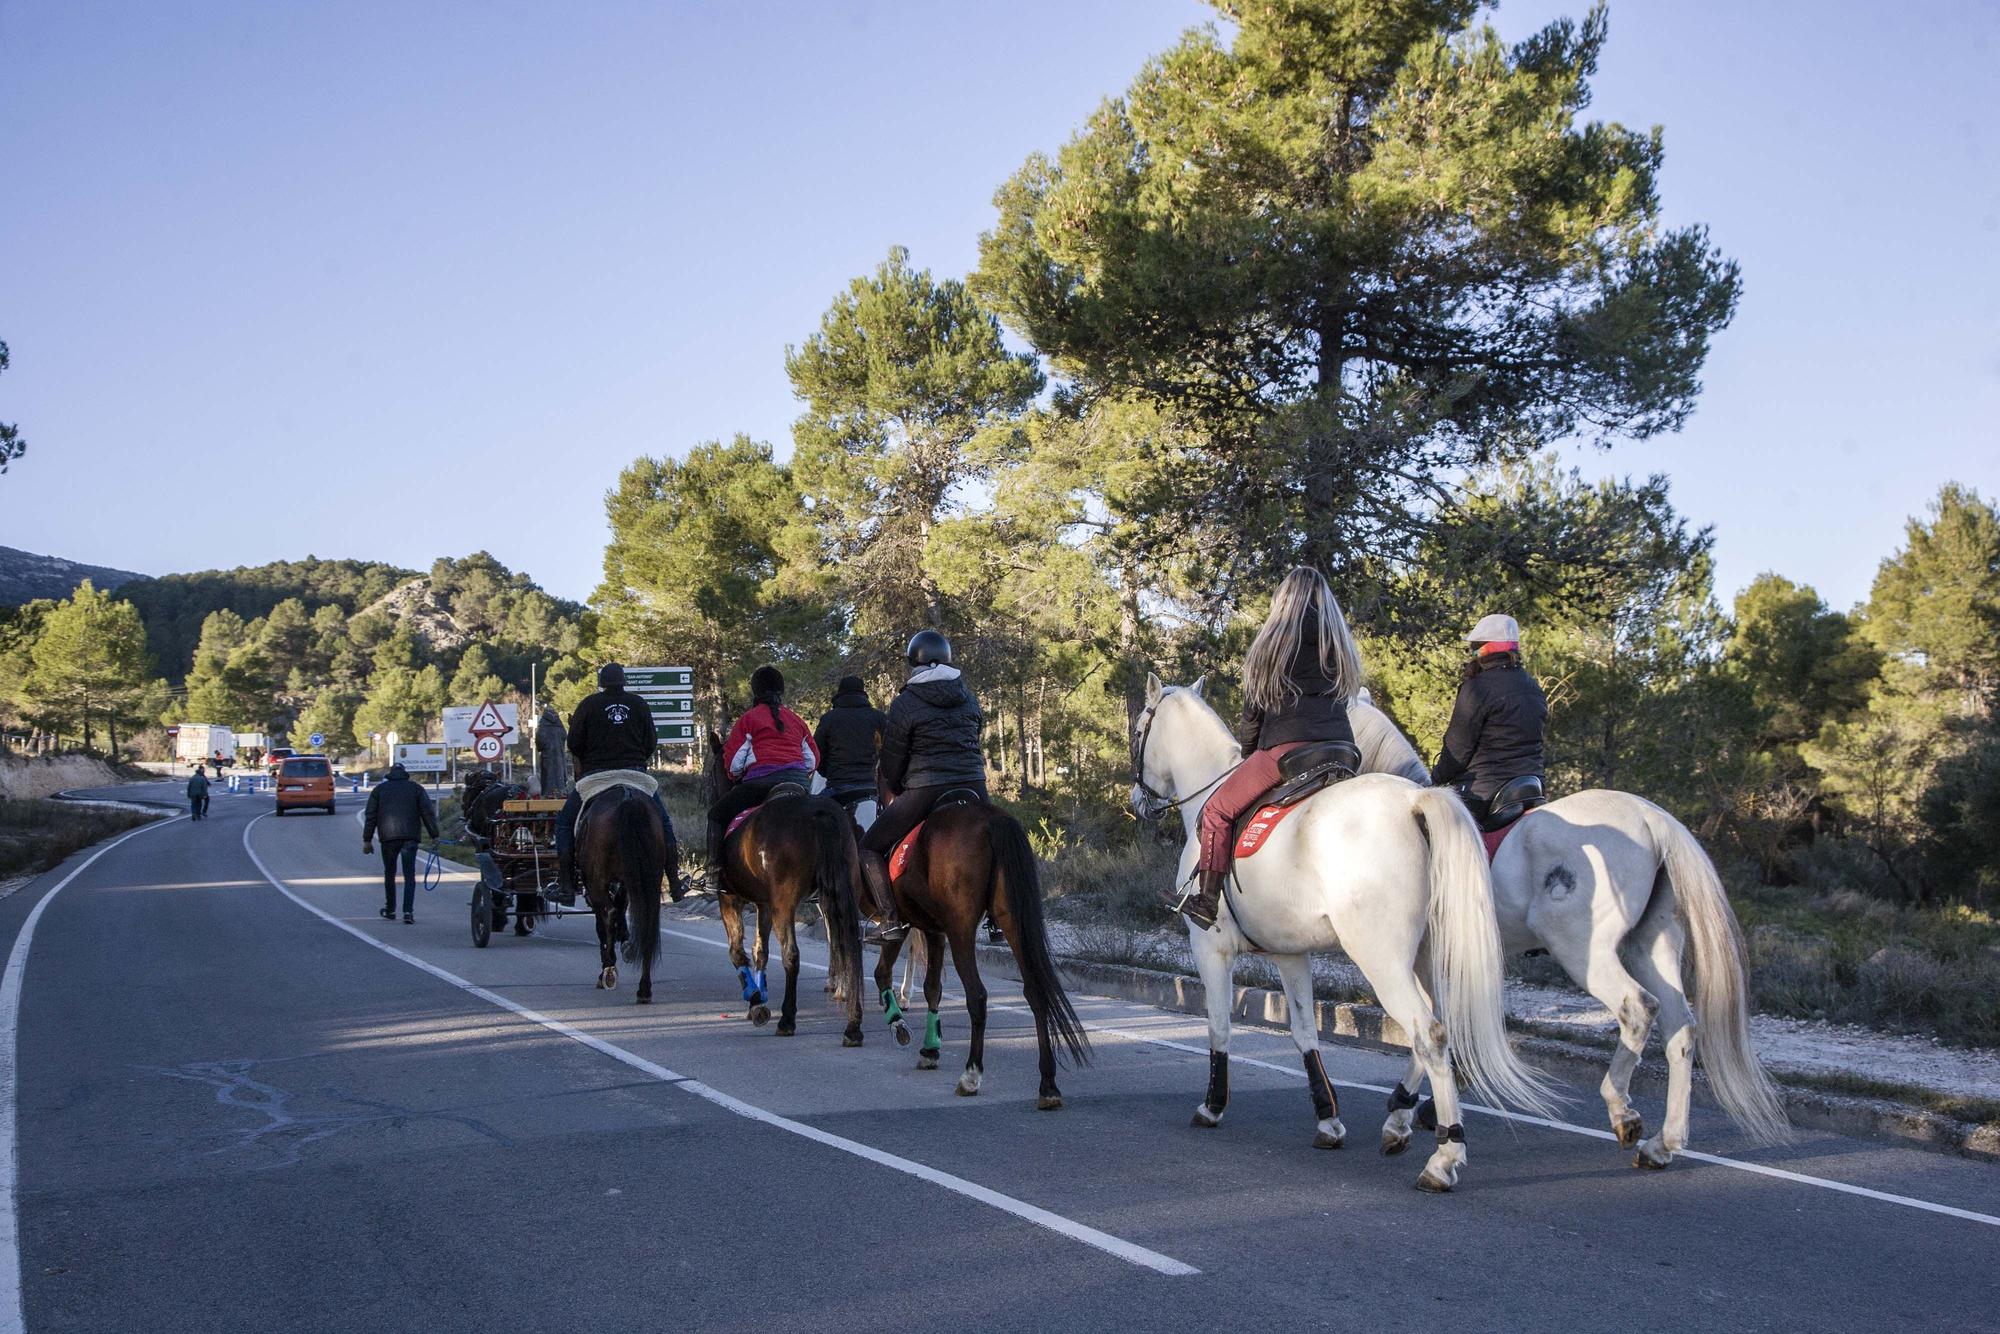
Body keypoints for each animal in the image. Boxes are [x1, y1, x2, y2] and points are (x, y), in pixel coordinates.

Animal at [576, 784, 668, 1000]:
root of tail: (628, 799)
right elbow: (622, 907)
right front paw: (626, 942)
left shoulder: (596, 887)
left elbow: (604, 923)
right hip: (647, 879)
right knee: (647, 919)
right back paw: (644, 988)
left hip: (598, 881)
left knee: (608, 916)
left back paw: (609, 971)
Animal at [708, 740, 864, 1040]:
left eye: (710, 772)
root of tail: (819, 813)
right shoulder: (764, 904)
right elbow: (760, 950)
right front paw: (759, 999)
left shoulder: (730, 899)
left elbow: (737, 951)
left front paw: (756, 1002)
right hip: (840, 894)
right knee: (849, 945)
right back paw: (853, 1025)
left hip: (785, 904)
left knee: (791, 954)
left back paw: (788, 1019)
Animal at [868, 804, 1088, 1104]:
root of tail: (992, 820)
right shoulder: (934, 930)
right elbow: (932, 987)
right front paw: (930, 1049)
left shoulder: (904, 922)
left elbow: (883, 973)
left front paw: (898, 1024)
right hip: (1012, 919)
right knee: (1034, 991)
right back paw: (1048, 1084)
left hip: (961, 928)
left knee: (977, 995)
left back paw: (971, 1076)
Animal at [1136, 680, 1552, 1192]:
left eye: (1139, 729)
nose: (1137, 801)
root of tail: (1415, 803)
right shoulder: (1291, 955)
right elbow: (1305, 1032)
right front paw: (1328, 1119)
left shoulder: (1209, 948)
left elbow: (1219, 1025)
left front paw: (1212, 1106)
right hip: (1428, 957)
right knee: (1440, 1025)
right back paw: (1400, 1122)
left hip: (1383, 960)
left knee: (1429, 1033)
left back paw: (1443, 1156)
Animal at [1352, 696, 1792, 1160]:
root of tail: (1651, 818)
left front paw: (1414, 1109)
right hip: (1651, 946)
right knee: (1681, 1028)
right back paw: (1663, 1143)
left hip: (1583, 951)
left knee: (1638, 1009)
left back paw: (1622, 1109)